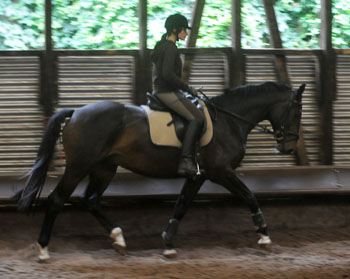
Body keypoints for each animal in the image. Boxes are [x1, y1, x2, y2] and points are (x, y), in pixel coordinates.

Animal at [14, 82, 304, 262]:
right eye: (297, 113)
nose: (288, 147)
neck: (228, 120)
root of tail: (75, 113)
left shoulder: (198, 175)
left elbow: (182, 206)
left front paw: (167, 243)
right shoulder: (221, 171)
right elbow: (249, 196)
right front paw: (264, 236)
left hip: (105, 167)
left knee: (91, 200)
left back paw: (119, 239)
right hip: (79, 167)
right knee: (57, 200)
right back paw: (43, 249)